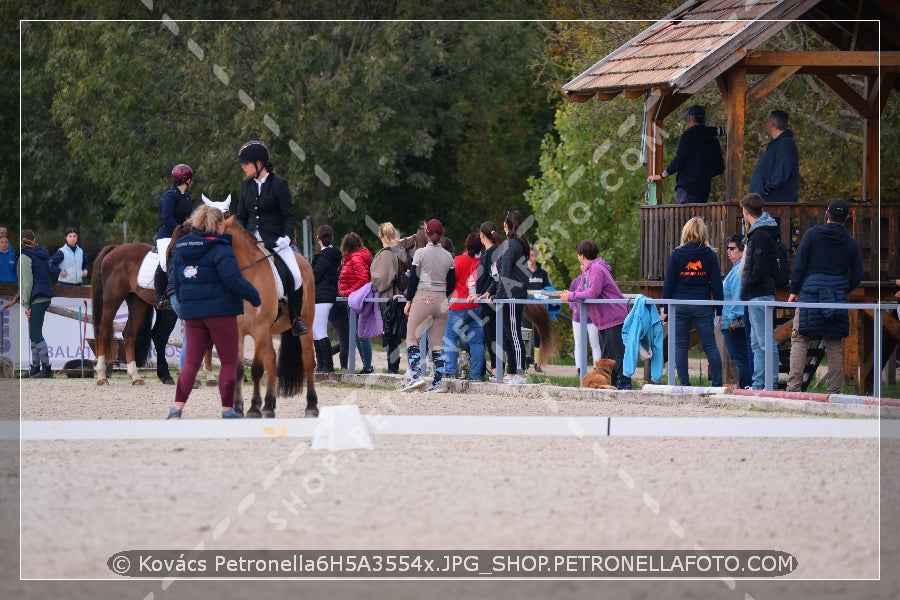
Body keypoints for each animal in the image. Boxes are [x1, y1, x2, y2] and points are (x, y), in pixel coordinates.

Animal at [222, 216, 318, 418]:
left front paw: (253, 409)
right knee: (271, 360)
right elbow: (239, 369)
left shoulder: (259, 329)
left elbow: (257, 369)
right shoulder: (240, 330)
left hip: (305, 323)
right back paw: (269, 404)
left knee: (307, 361)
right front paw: (238, 408)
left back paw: (311, 406)